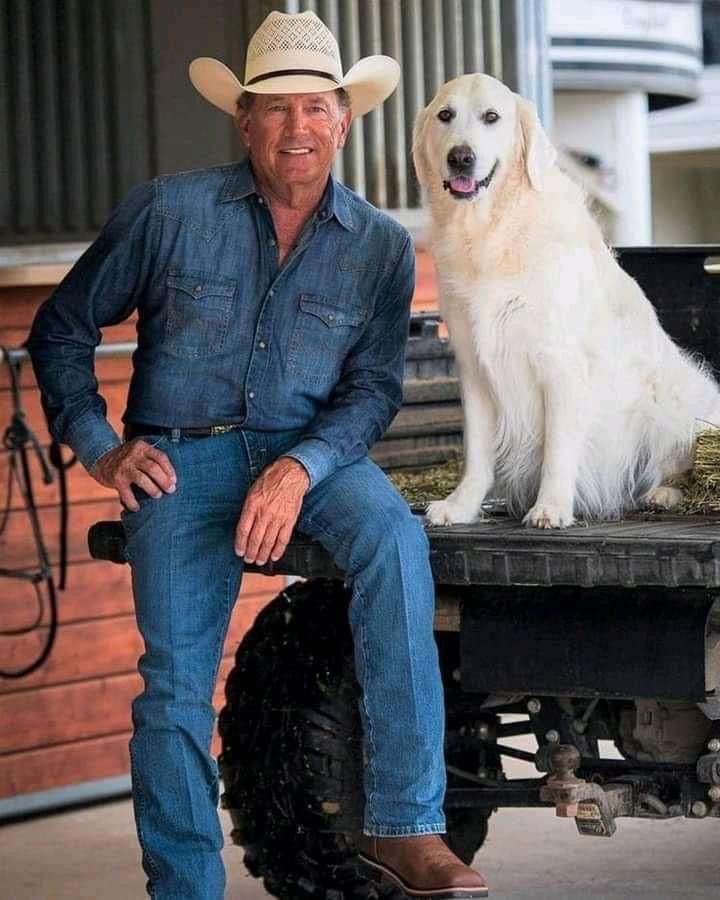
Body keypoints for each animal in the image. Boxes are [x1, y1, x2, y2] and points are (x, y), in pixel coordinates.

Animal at [410, 77, 720, 532]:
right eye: (444, 115)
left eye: (491, 117)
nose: (461, 158)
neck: (492, 231)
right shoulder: (474, 368)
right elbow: (478, 453)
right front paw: (462, 506)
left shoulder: (559, 363)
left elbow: (557, 448)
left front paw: (551, 507)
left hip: (672, 394)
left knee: (678, 460)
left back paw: (662, 494)